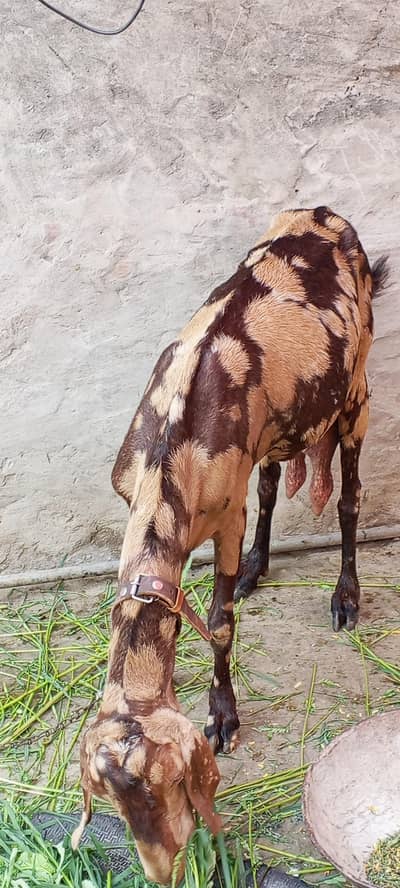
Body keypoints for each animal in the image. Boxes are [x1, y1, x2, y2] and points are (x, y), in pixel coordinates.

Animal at [72, 206, 387, 885]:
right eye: (110, 799)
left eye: (169, 780)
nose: (162, 868)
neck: (170, 450)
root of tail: (324, 212)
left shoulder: (224, 517)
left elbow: (218, 625)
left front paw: (223, 717)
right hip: (276, 428)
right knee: (270, 483)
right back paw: (256, 568)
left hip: (356, 391)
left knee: (349, 497)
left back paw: (345, 598)